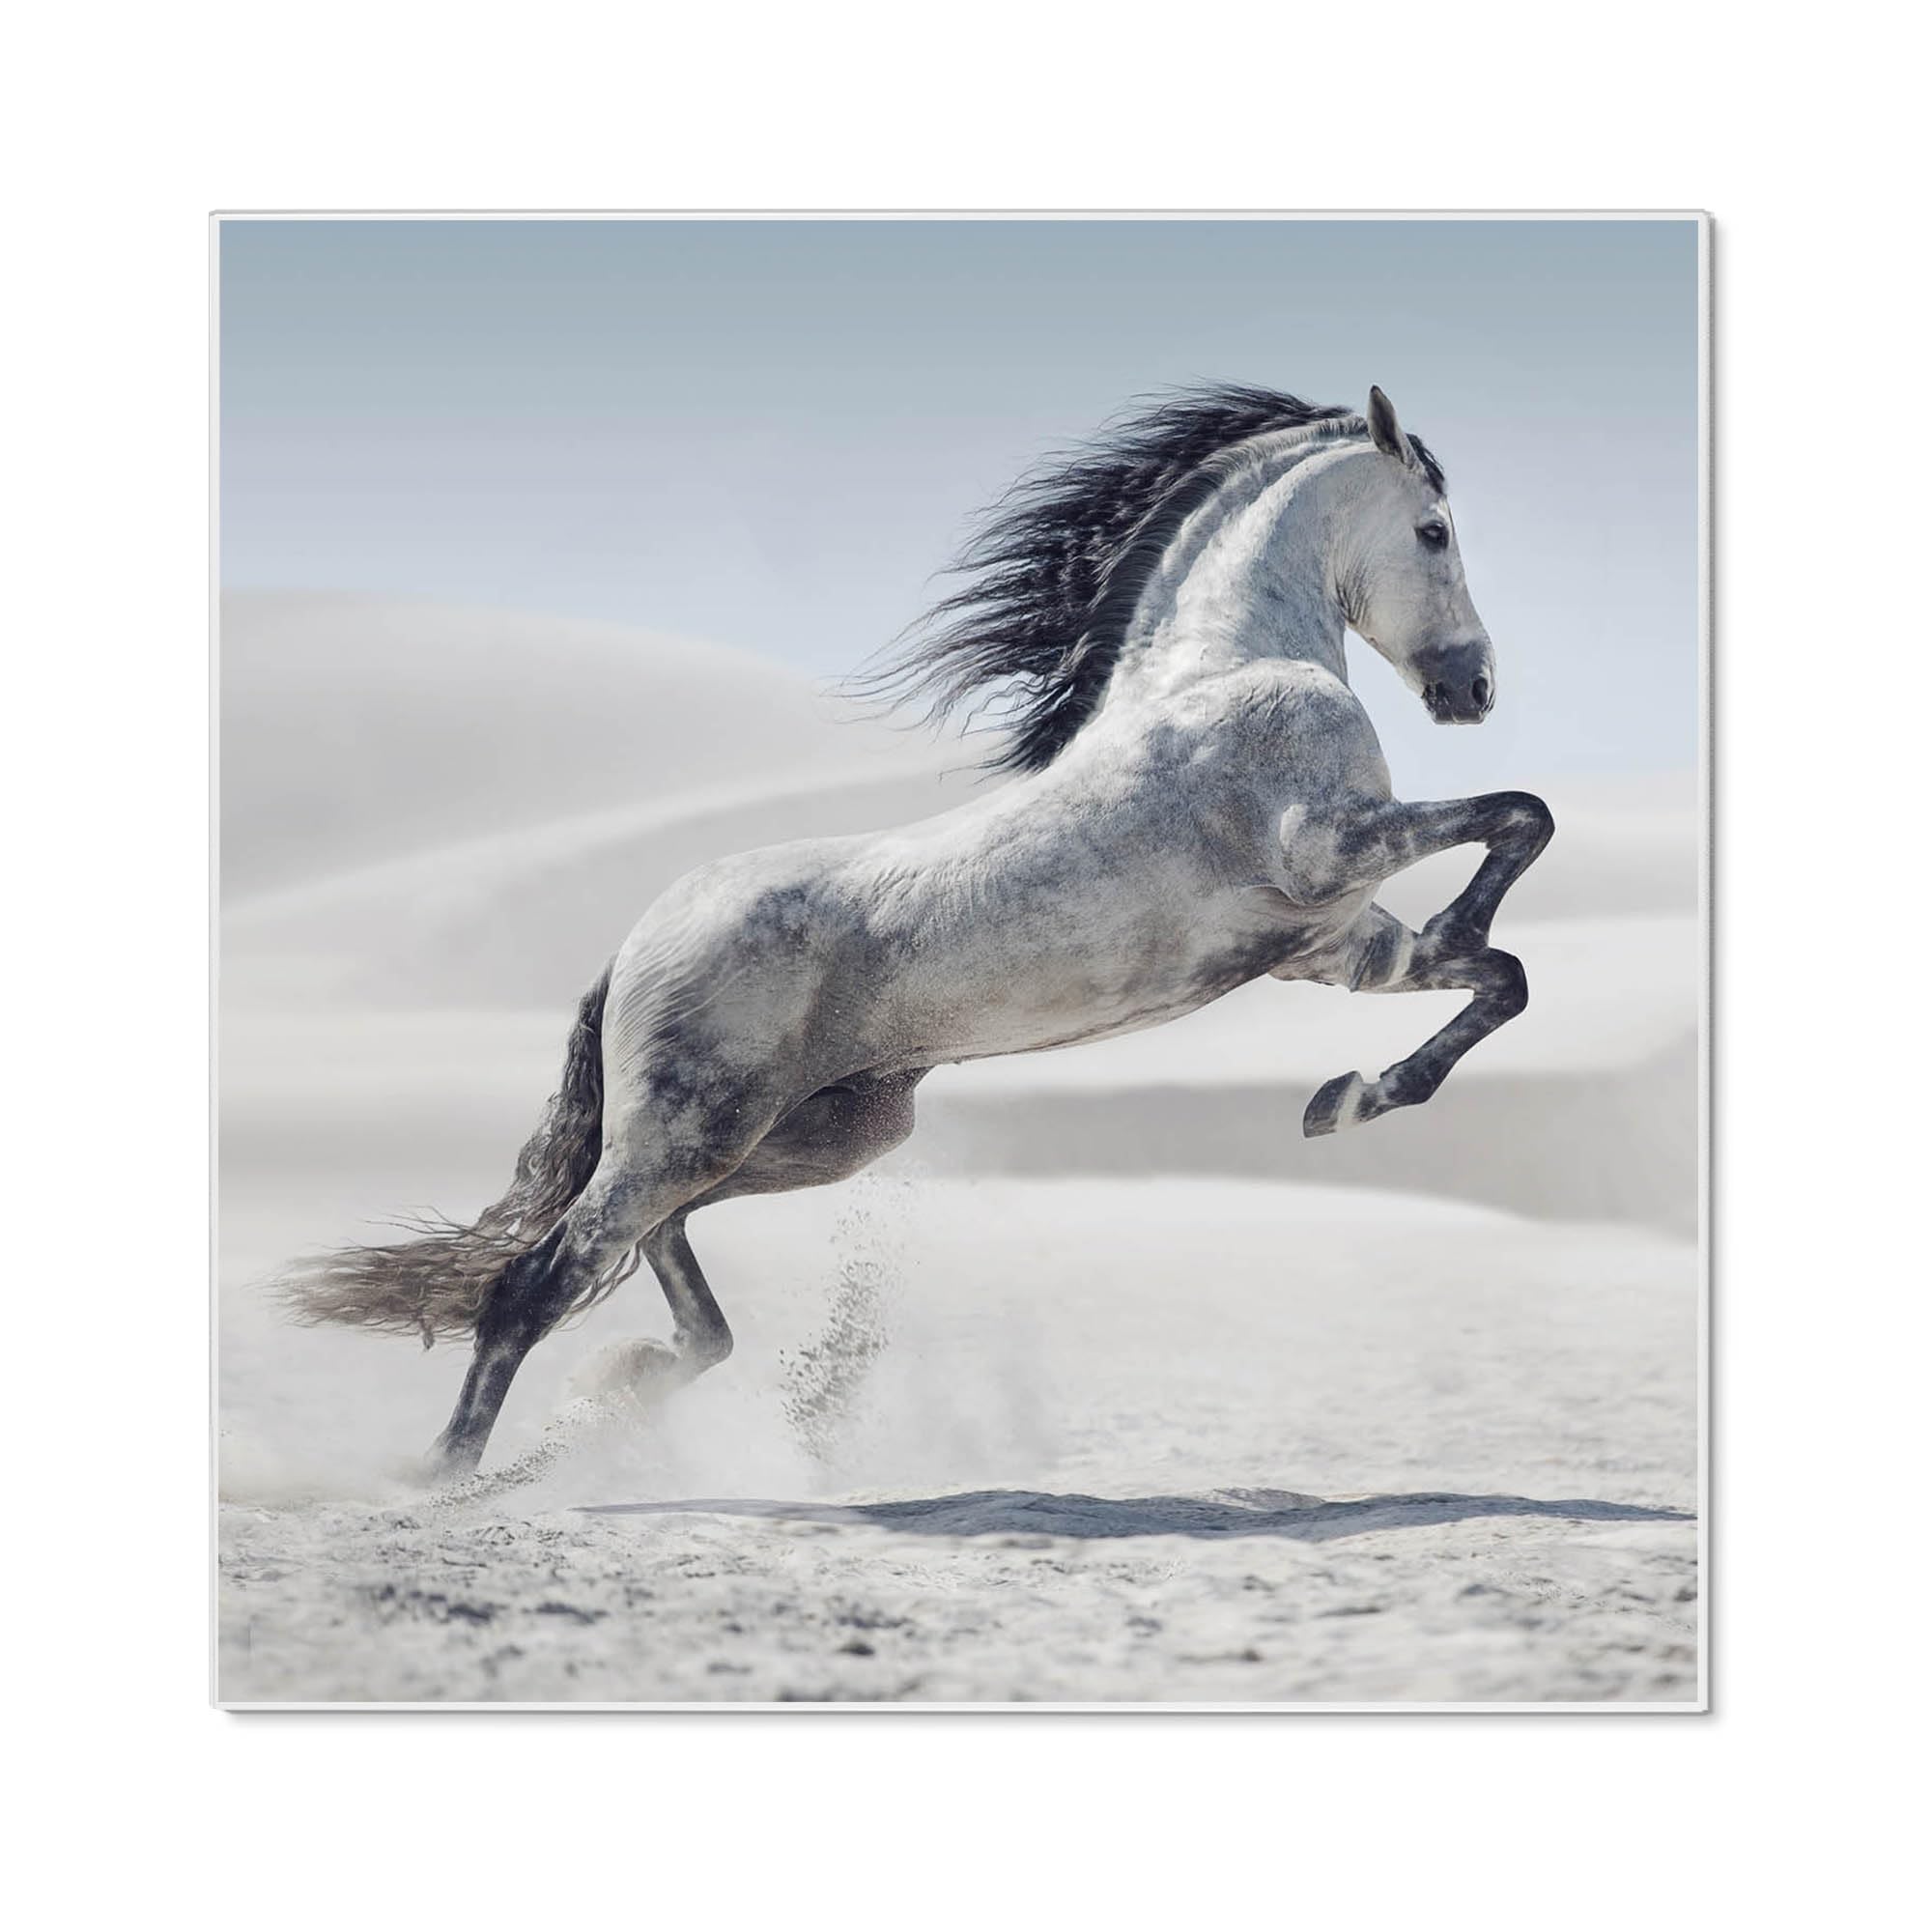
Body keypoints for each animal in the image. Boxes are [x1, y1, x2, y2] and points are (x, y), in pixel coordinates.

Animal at [284, 383, 1554, 1478]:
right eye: (1433, 529)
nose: (1474, 689)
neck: (1226, 668)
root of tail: (634, 943)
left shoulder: (1334, 945)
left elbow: (1500, 974)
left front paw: (1347, 1097)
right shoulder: (1327, 849)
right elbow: (1520, 819)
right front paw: (1375, 1055)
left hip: (809, 1136)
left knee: (652, 1254)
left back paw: (629, 1382)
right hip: (694, 1131)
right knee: (538, 1278)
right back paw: (446, 1476)